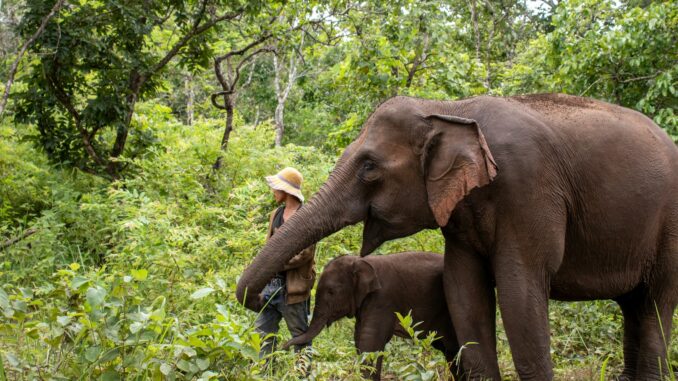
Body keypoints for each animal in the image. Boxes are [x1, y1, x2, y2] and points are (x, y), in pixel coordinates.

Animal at [282, 251, 462, 378]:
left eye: (331, 292)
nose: (283, 346)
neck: (359, 260)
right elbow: (360, 338)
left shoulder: (383, 298)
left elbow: (370, 341)